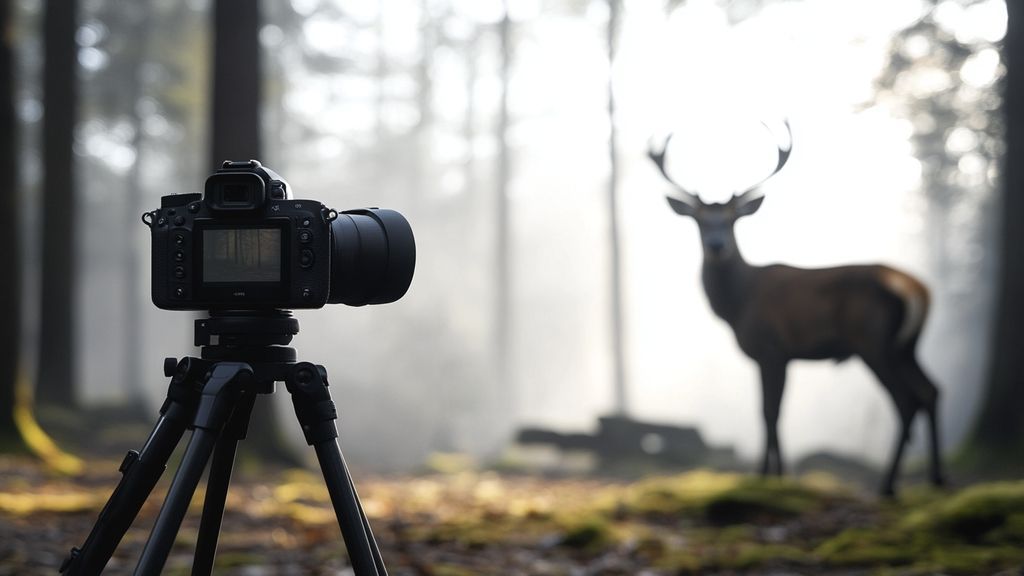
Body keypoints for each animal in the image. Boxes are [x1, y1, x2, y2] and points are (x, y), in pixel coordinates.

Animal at [648, 122, 944, 496]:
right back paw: (937, 479)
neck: (738, 305)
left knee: (906, 400)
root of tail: (916, 288)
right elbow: (773, 412)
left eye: (732, 219)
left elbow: (769, 412)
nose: (717, 245)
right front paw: (777, 476)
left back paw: (888, 486)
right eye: (699, 220)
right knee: (931, 391)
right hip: (907, 346)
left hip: (872, 341)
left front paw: (766, 477)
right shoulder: (780, 356)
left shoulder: (770, 348)